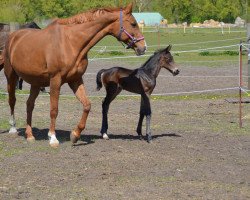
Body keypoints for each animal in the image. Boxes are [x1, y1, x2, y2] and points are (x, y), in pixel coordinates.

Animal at [1, 2, 146, 147]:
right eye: (133, 24)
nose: (143, 47)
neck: (71, 42)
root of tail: (13, 37)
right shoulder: (55, 80)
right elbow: (54, 109)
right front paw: (53, 138)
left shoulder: (76, 80)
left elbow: (87, 105)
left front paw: (75, 135)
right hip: (11, 76)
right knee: (12, 100)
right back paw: (13, 128)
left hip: (36, 82)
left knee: (29, 104)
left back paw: (30, 135)